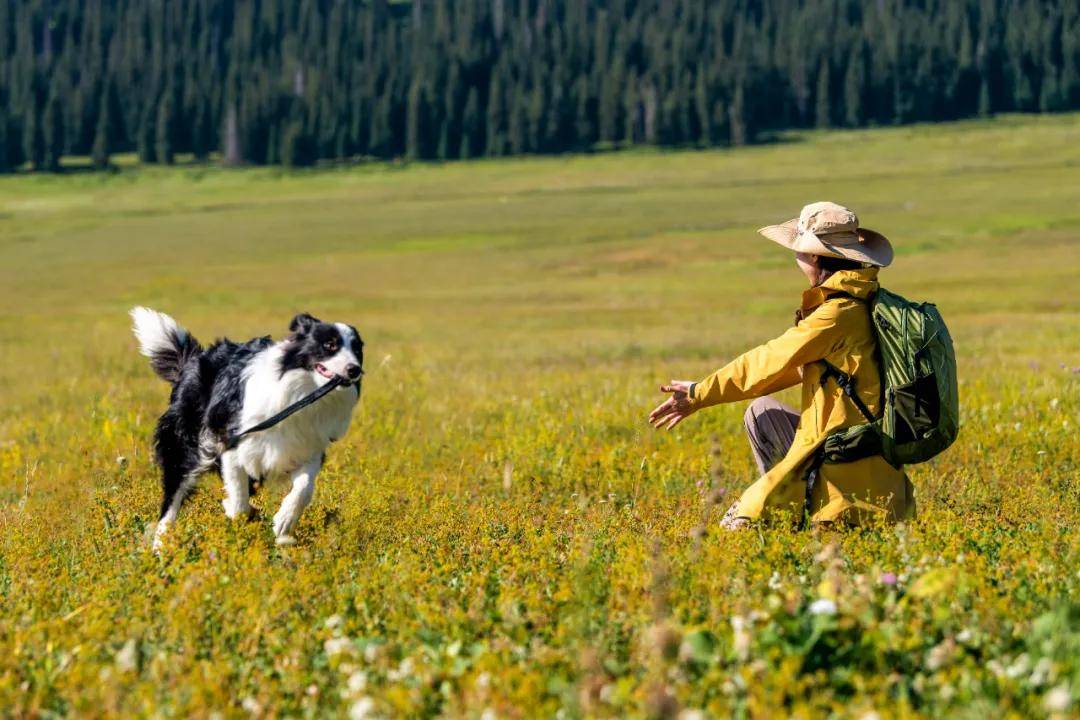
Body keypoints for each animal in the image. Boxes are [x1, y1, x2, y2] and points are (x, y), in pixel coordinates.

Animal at [131, 306, 365, 548]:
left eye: (357, 349)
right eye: (329, 345)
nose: (354, 370)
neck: (303, 395)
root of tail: (193, 360)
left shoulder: (307, 448)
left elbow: (304, 488)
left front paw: (283, 522)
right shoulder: (231, 441)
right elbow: (238, 499)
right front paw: (237, 514)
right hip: (185, 445)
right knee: (173, 496)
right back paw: (162, 544)